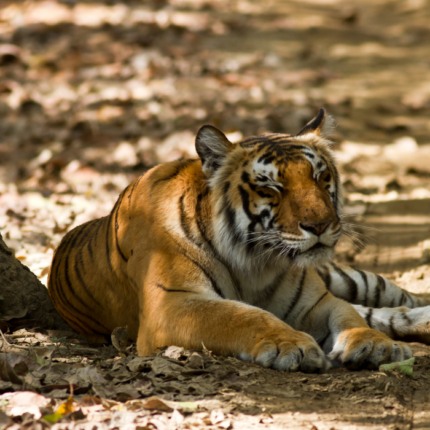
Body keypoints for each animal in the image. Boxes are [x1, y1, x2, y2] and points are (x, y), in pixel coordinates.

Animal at [47, 108, 430, 372]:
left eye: (322, 178)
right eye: (271, 187)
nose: (320, 225)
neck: (256, 261)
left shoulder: (315, 301)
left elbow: (349, 316)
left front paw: (376, 345)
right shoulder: (171, 304)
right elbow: (244, 316)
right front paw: (292, 344)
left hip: (344, 277)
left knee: (388, 299)